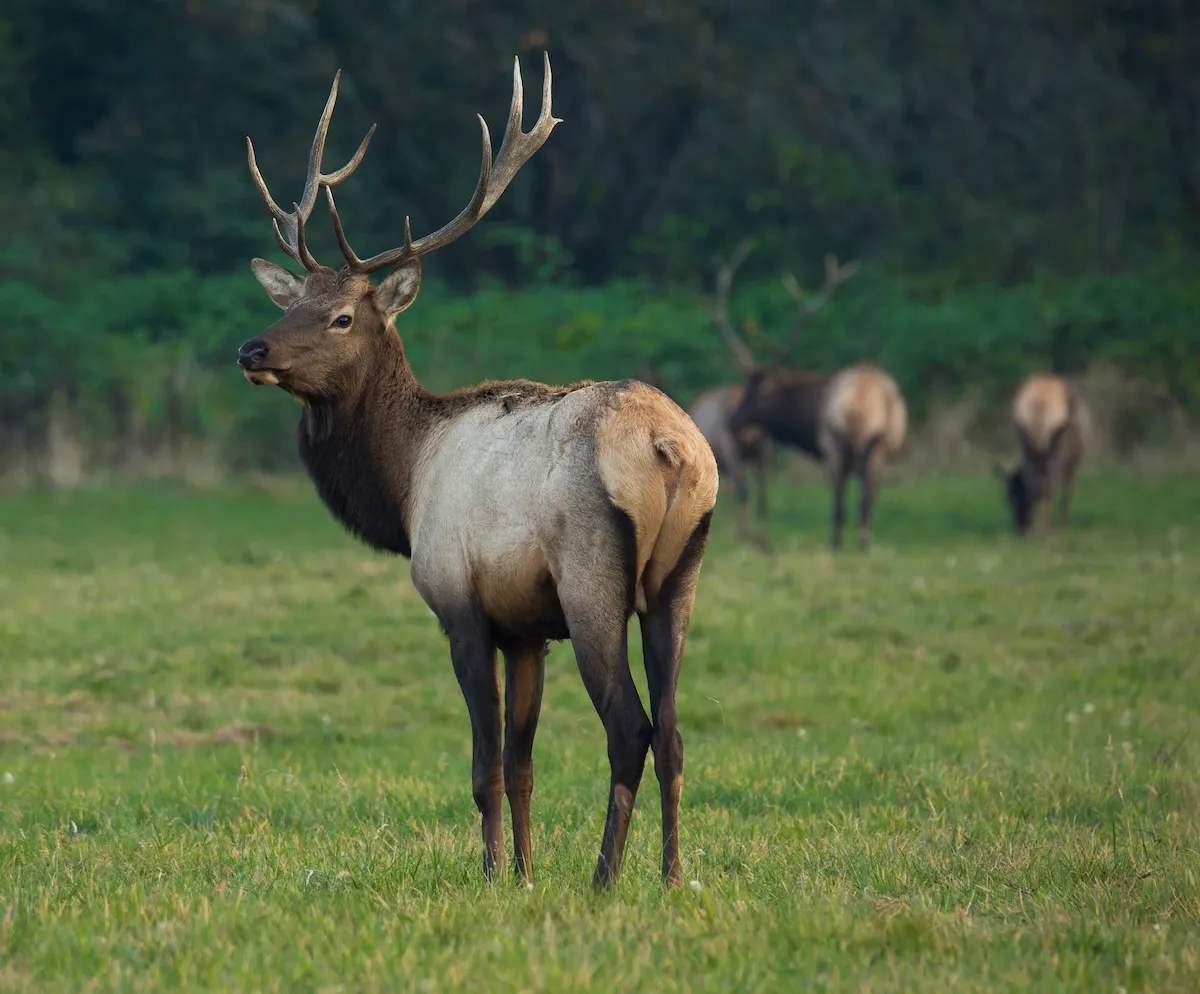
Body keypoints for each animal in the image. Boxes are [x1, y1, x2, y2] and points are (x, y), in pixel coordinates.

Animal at [235, 56, 719, 889]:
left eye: (341, 317)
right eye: (292, 301)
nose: (251, 350)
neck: (402, 485)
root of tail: (670, 448)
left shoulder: (460, 605)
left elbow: (483, 765)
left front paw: (492, 874)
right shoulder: (525, 630)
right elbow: (523, 766)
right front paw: (523, 871)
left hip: (592, 578)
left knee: (630, 726)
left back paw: (604, 877)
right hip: (676, 580)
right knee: (676, 732)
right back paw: (669, 873)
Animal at [714, 241, 908, 552]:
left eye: (759, 393)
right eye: (746, 386)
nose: (732, 421)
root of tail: (876, 399)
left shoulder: (826, 445)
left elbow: (838, 499)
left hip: (840, 443)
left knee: (847, 497)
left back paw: (840, 545)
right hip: (883, 444)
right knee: (869, 494)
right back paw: (864, 544)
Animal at [996, 373, 1090, 537]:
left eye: (1009, 498)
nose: (1020, 527)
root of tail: (1040, 402)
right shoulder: (1072, 462)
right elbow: (1066, 490)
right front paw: (1064, 524)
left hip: (1027, 443)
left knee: (1033, 481)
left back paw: (1037, 530)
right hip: (1055, 448)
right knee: (1048, 483)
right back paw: (1047, 531)